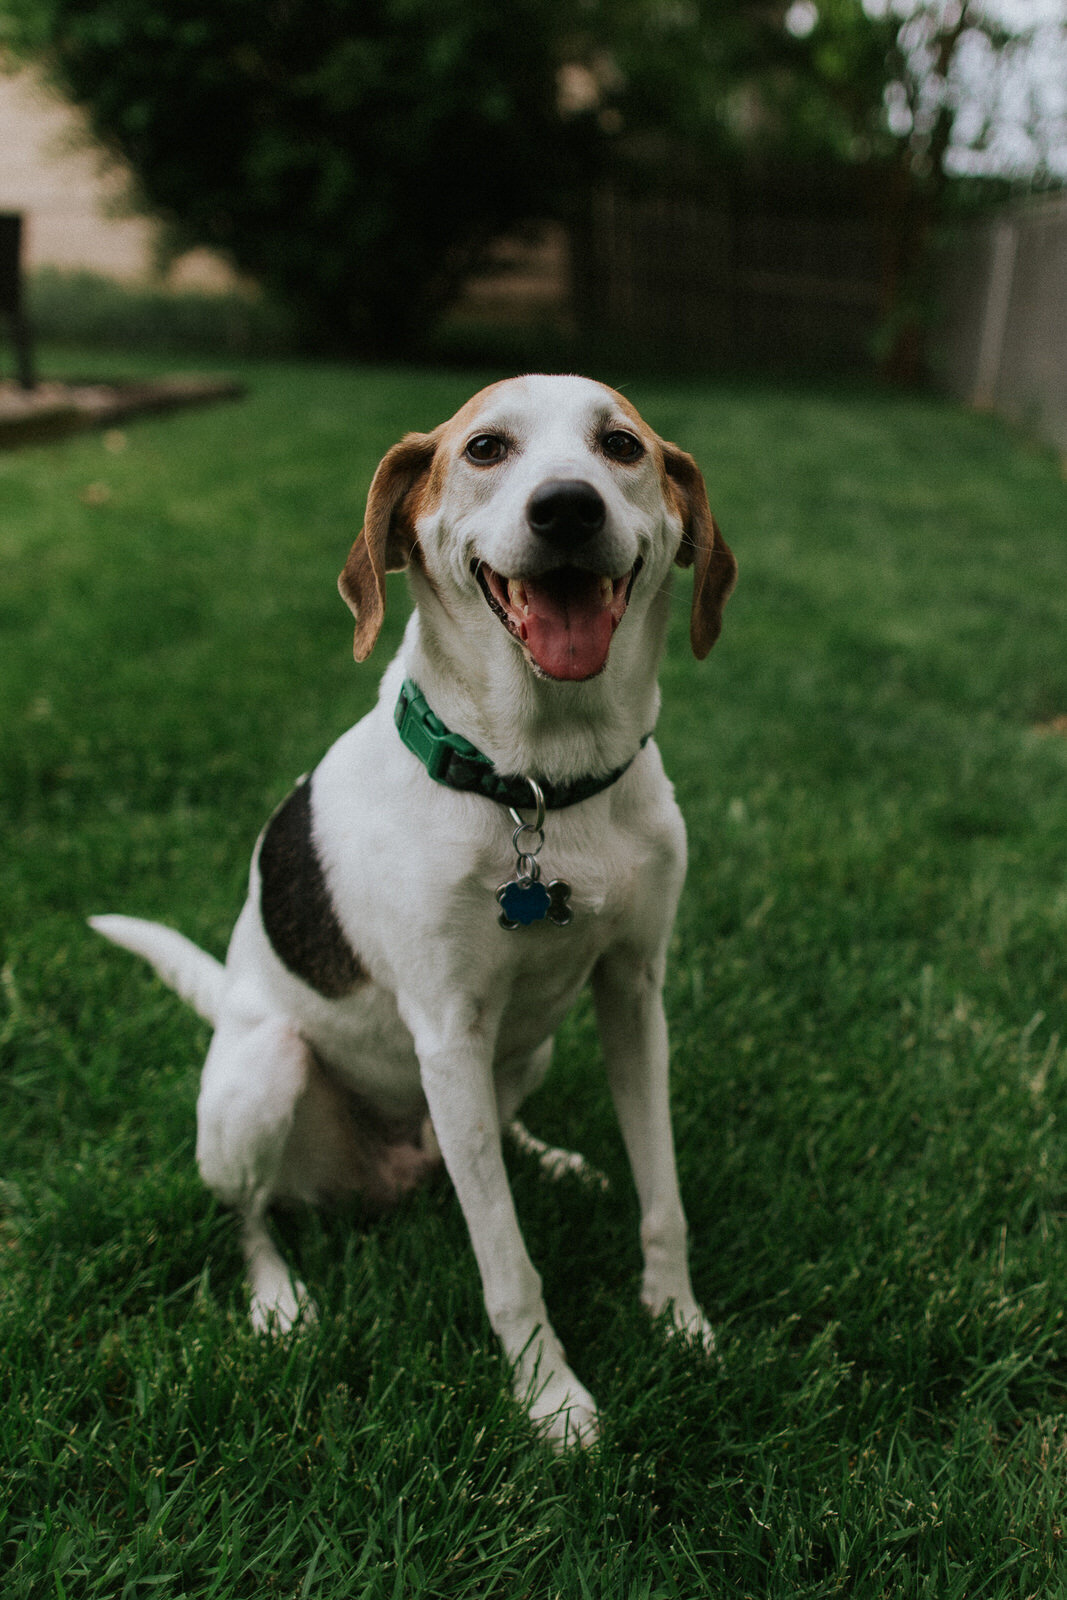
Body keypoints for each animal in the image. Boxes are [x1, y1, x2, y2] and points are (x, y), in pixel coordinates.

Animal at [91, 374, 739, 1452]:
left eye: (619, 446)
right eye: (483, 448)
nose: (567, 508)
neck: (542, 785)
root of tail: (392, 1168)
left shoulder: (633, 992)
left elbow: (665, 1198)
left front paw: (678, 1320)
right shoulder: (446, 1030)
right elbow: (507, 1264)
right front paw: (552, 1400)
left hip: (529, 1053)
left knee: (493, 1135)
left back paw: (549, 1159)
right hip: (266, 1075)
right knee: (251, 1218)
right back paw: (279, 1300)